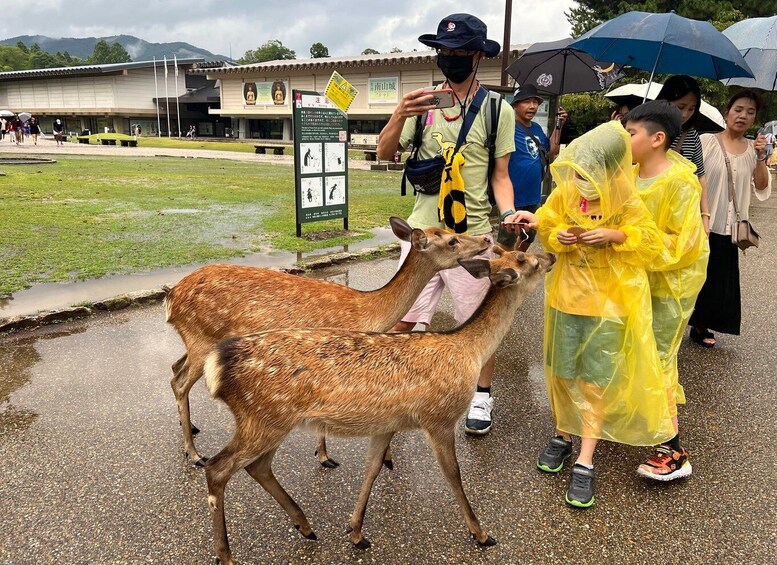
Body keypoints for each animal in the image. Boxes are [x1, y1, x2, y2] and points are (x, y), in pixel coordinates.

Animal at [165, 216, 492, 462]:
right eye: (451, 240)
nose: (487, 240)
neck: (367, 311)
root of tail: (172, 297)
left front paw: (322, 453)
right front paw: (324, 456)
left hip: (194, 339)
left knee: (174, 368)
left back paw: (190, 427)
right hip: (202, 337)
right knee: (180, 381)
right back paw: (194, 454)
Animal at [200, 248, 552, 560]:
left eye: (516, 253)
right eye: (528, 261)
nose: (550, 256)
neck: (469, 350)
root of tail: (218, 366)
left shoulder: (387, 424)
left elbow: (372, 468)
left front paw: (356, 532)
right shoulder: (439, 416)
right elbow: (453, 474)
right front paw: (481, 533)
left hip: (271, 419)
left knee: (258, 466)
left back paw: (306, 526)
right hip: (263, 418)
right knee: (217, 467)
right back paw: (226, 554)